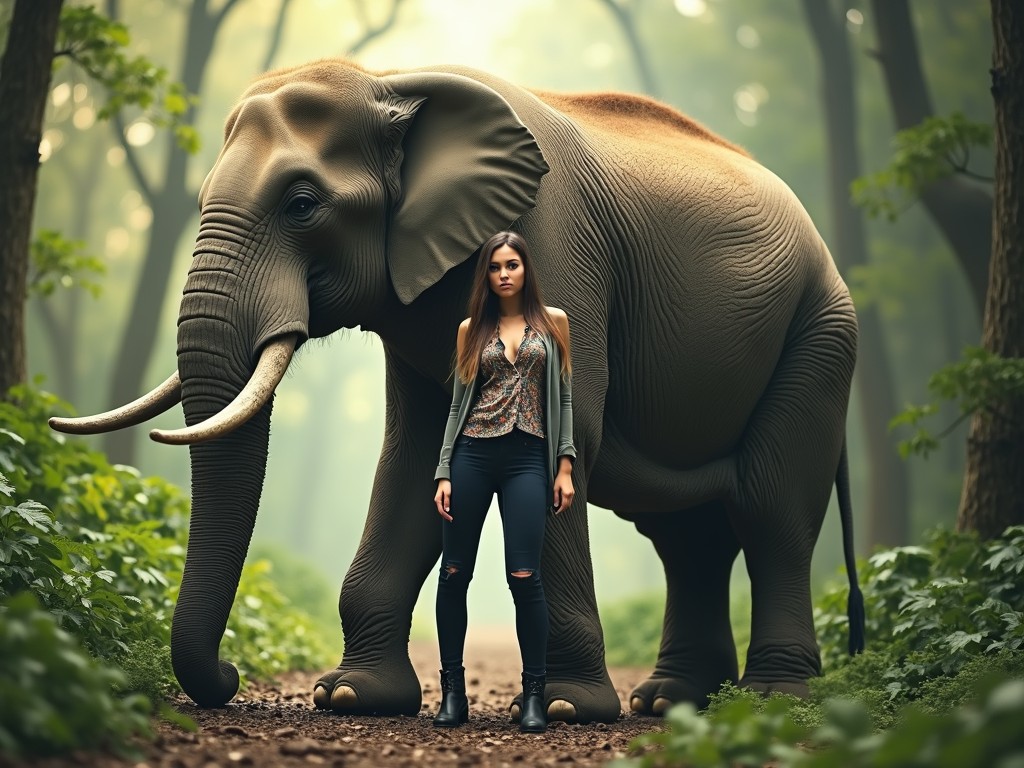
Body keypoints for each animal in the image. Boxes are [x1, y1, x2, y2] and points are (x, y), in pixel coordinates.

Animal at [49, 58, 864, 720]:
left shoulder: (556, 247)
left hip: (821, 334)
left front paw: (568, 709)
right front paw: (350, 697)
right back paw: (671, 703)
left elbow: (569, 438)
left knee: (770, 509)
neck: (391, 81)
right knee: (684, 532)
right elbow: (416, 457)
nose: (229, 675)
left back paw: (773, 699)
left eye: (303, 204)